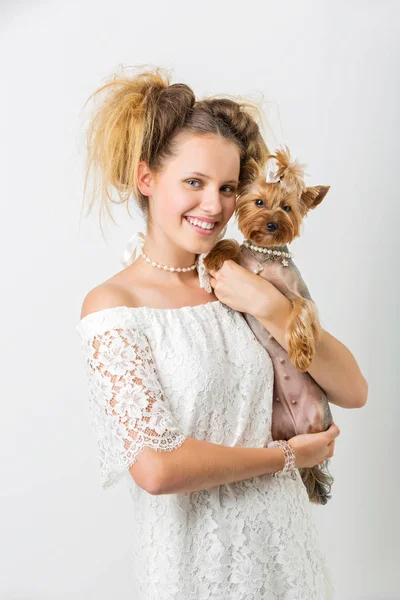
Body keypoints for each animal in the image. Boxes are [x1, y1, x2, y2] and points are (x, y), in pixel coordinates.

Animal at [202, 146, 336, 506]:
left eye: (287, 207)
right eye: (259, 202)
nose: (273, 224)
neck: (265, 256)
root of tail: (298, 428)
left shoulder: (298, 295)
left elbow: (300, 311)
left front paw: (301, 353)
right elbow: (233, 246)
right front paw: (214, 256)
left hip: (318, 420)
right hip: (275, 426)